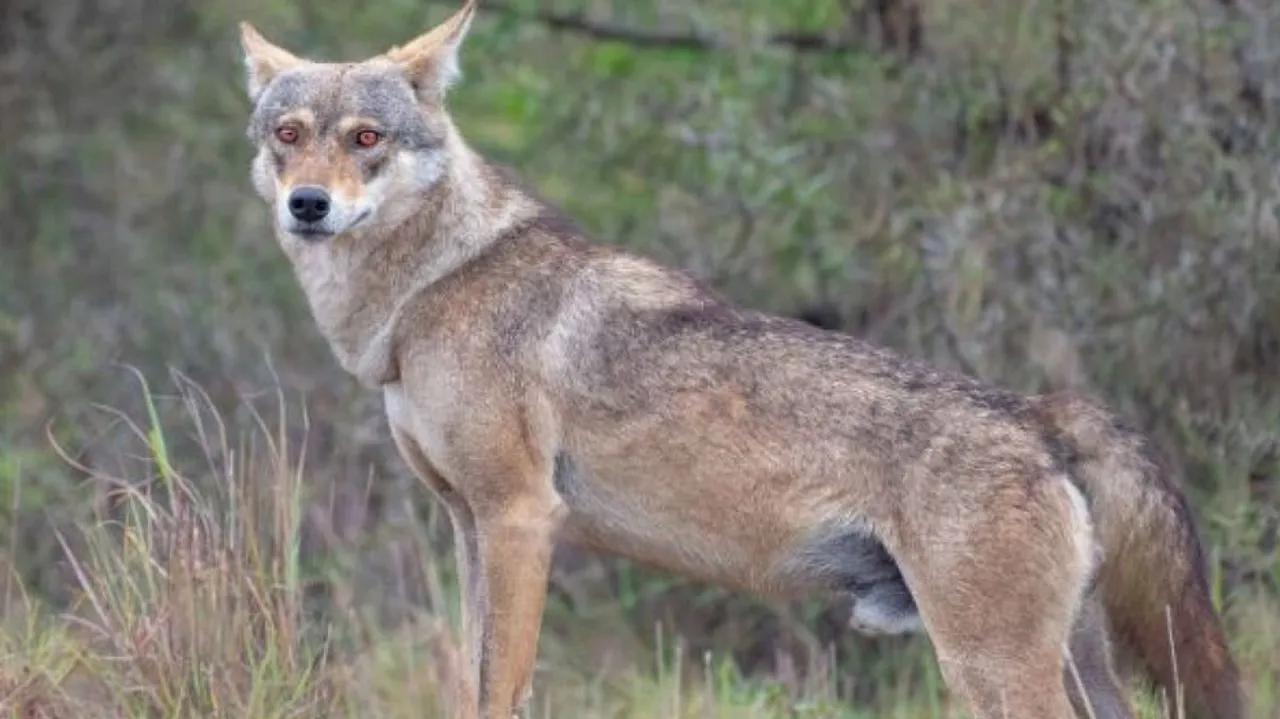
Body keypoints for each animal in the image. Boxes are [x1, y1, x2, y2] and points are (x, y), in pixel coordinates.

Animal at [236, 2, 1246, 717]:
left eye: (366, 138)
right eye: (289, 135)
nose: (308, 206)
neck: (423, 293)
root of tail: (1041, 414)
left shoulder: (520, 519)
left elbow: (500, 689)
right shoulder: (466, 524)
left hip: (989, 668)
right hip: (1064, 664)